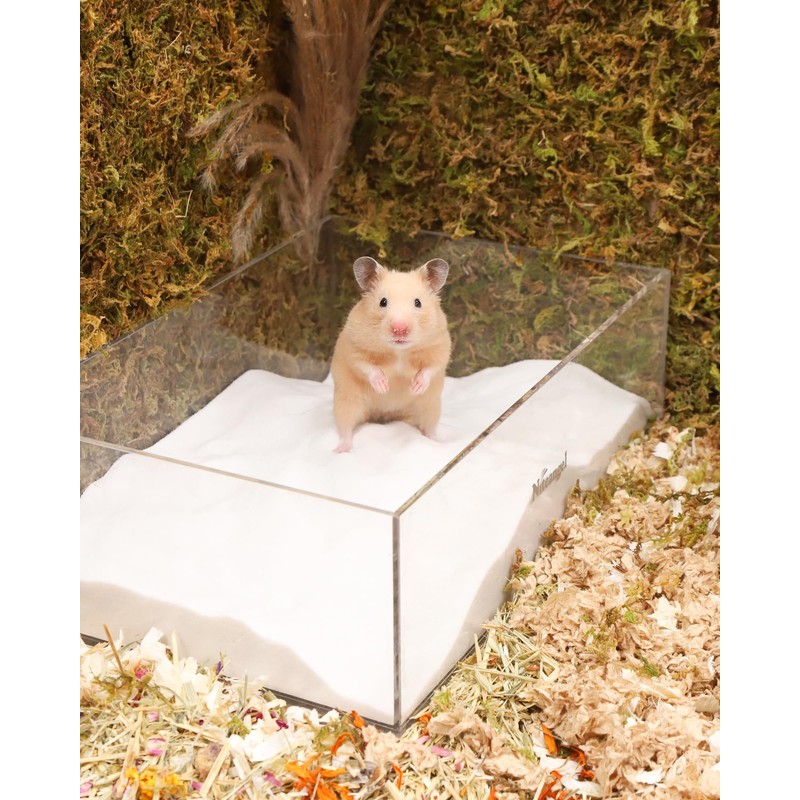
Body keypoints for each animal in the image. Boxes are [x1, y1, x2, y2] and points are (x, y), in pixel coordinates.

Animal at [331, 256, 451, 453]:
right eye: (383, 302)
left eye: (417, 302)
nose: (399, 329)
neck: (399, 350)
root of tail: (384, 415)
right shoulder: (353, 347)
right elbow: (366, 365)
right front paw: (383, 387)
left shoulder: (440, 346)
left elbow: (430, 367)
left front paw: (415, 386)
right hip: (347, 402)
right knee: (346, 428)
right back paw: (342, 449)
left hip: (430, 407)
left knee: (429, 427)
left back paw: (437, 441)